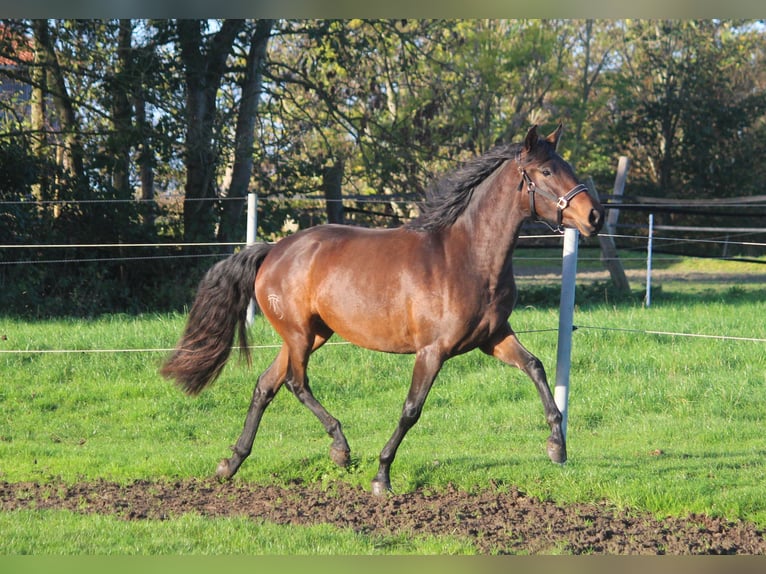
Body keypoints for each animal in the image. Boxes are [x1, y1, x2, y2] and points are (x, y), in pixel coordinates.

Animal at [164, 124, 608, 498]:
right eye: (547, 171)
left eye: (567, 167)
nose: (595, 216)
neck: (467, 257)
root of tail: (272, 250)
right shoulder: (432, 351)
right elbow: (411, 409)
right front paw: (381, 476)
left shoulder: (494, 338)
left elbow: (535, 367)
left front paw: (557, 446)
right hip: (300, 335)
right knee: (295, 383)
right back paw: (340, 449)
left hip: (312, 334)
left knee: (265, 386)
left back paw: (232, 462)